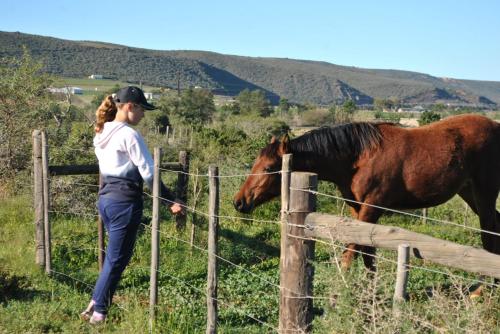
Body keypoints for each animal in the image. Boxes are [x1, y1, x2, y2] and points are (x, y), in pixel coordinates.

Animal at [234, 114, 500, 272]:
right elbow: (366, 252)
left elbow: (351, 252)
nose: (239, 202)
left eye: (269, 168)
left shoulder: (371, 208)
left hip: (484, 196)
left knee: (489, 235)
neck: (359, 157)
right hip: (470, 194)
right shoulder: (359, 211)